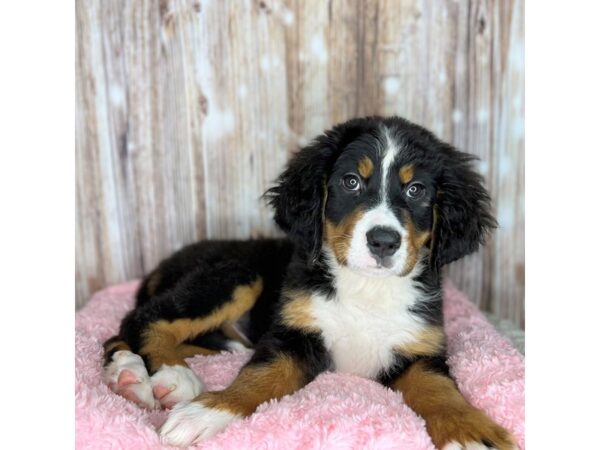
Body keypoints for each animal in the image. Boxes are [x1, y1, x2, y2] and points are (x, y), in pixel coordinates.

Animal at [102, 117, 516, 450]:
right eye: (351, 182)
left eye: (416, 189)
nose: (383, 241)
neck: (367, 289)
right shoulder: (294, 336)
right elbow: (260, 377)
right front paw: (209, 411)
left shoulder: (420, 349)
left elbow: (440, 390)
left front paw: (469, 431)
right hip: (235, 276)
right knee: (141, 319)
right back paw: (164, 375)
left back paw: (130, 374)